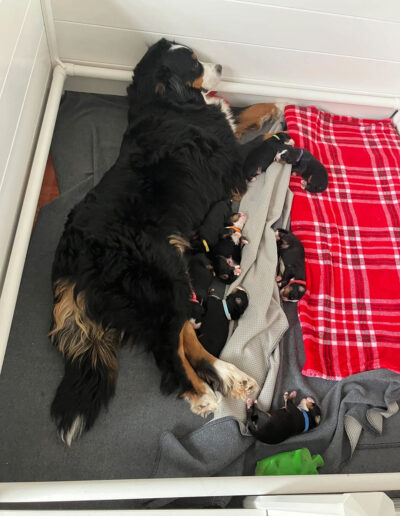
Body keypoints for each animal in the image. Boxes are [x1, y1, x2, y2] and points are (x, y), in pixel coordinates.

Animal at [50, 38, 282, 446]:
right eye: (193, 63)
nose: (220, 66)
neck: (166, 102)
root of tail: (72, 255)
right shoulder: (234, 162)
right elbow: (255, 145)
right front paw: (282, 130)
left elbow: (242, 111)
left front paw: (271, 105)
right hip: (160, 276)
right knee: (169, 350)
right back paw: (203, 394)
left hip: (172, 278)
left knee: (183, 333)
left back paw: (229, 376)